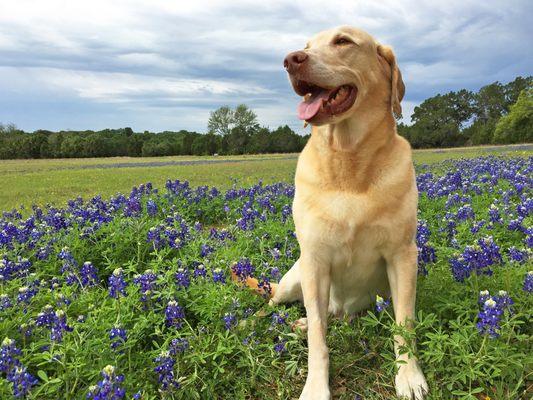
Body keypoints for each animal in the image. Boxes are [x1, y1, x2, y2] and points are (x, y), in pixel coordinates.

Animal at [274, 26, 428, 398]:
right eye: (306, 46)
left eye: (343, 41)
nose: (290, 59)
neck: (347, 160)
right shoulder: (314, 260)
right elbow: (318, 339)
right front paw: (316, 386)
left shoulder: (403, 255)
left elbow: (404, 323)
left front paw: (409, 375)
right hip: (292, 280)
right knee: (277, 303)